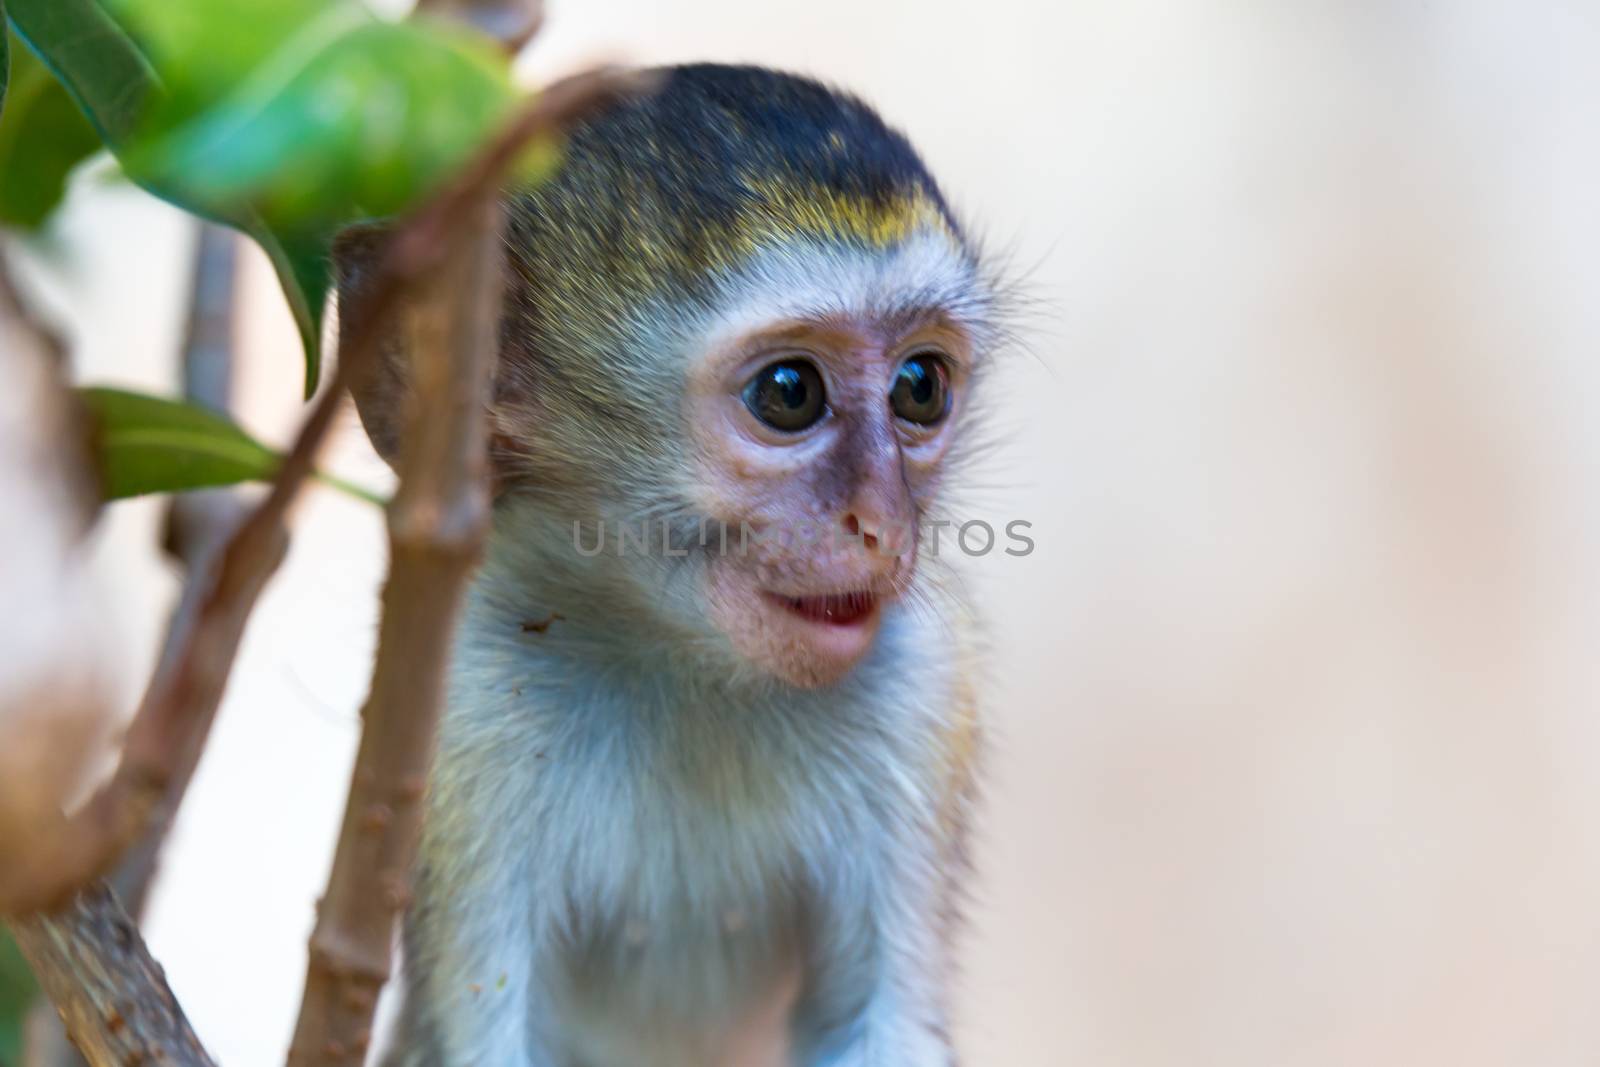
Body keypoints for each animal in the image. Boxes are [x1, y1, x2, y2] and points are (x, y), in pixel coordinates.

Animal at [339, 64, 998, 1067]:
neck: (685, 663)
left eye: (920, 386)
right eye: (789, 393)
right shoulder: (458, 708)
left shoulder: (924, 686)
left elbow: (877, 1025)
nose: (882, 524)